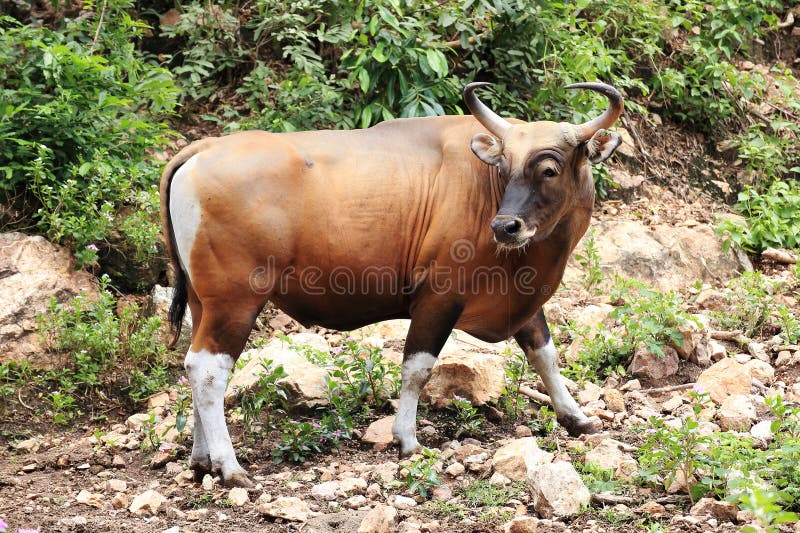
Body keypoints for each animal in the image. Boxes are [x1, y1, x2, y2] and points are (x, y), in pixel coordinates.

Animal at [161, 82, 624, 486]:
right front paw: (408, 439)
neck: (483, 193)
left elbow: (545, 354)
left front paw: (576, 417)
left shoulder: (520, 298)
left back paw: (201, 459)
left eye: (549, 168)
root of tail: (203, 148)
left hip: (203, 301)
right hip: (235, 300)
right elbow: (417, 369)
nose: (505, 226)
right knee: (208, 371)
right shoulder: (439, 298)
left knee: (192, 364)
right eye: (504, 168)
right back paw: (229, 466)